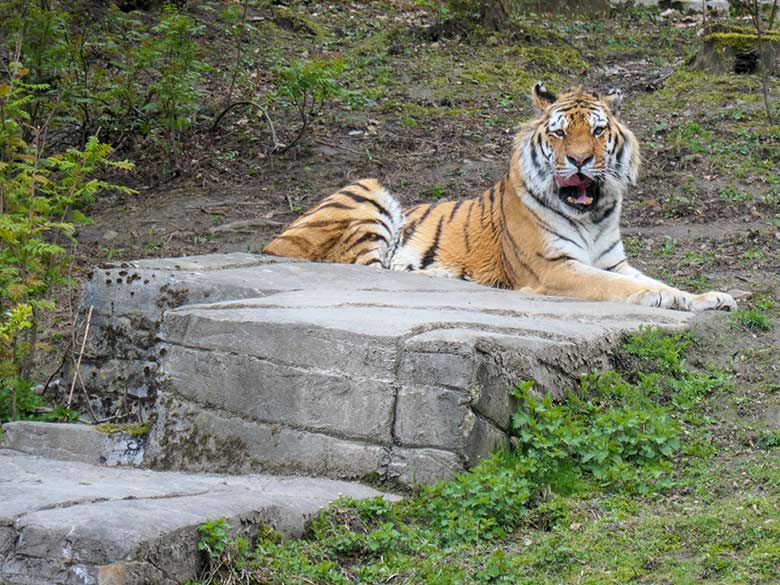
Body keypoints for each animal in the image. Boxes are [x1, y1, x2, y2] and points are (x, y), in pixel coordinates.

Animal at [266, 84, 736, 312]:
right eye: (559, 133)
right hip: (367, 190)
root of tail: (272, 243)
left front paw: (711, 298)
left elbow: (654, 278)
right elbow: (620, 286)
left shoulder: (612, 261)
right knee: (365, 267)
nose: (580, 160)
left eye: (598, 130)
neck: (592, 216)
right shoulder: (554, 268)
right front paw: (667, 299)